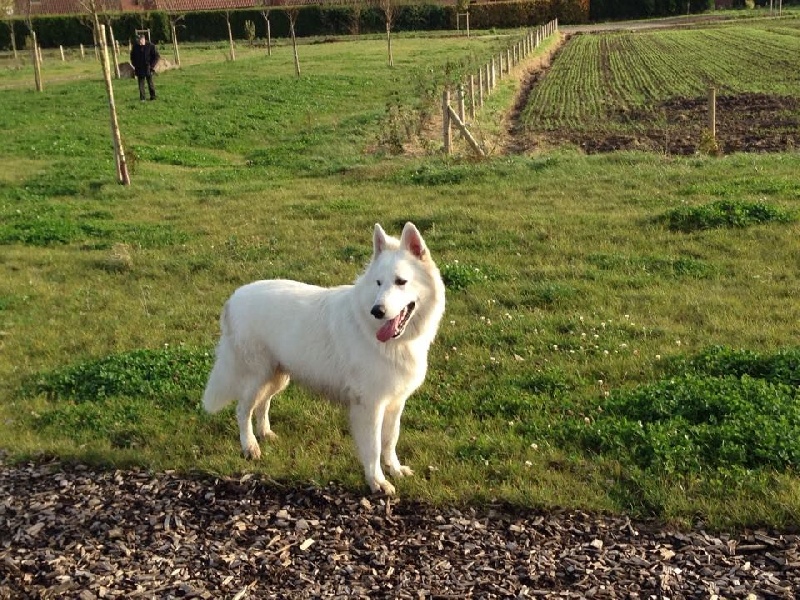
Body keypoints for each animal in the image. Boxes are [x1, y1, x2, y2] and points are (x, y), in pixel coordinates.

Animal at [202, 223, 444, 494]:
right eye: (379, 283)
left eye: (401, 282)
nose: (377, 311)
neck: (392, 341)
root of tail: (233, 298)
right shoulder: (369, 406)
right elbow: (373, 448)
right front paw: (377, 481)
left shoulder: (394, 402)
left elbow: (390, 440)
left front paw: (395, 469)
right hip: (257, 377)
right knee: (243, 410)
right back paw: (250, 446)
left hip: (277, 377)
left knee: (262, 404)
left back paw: (265, 433)